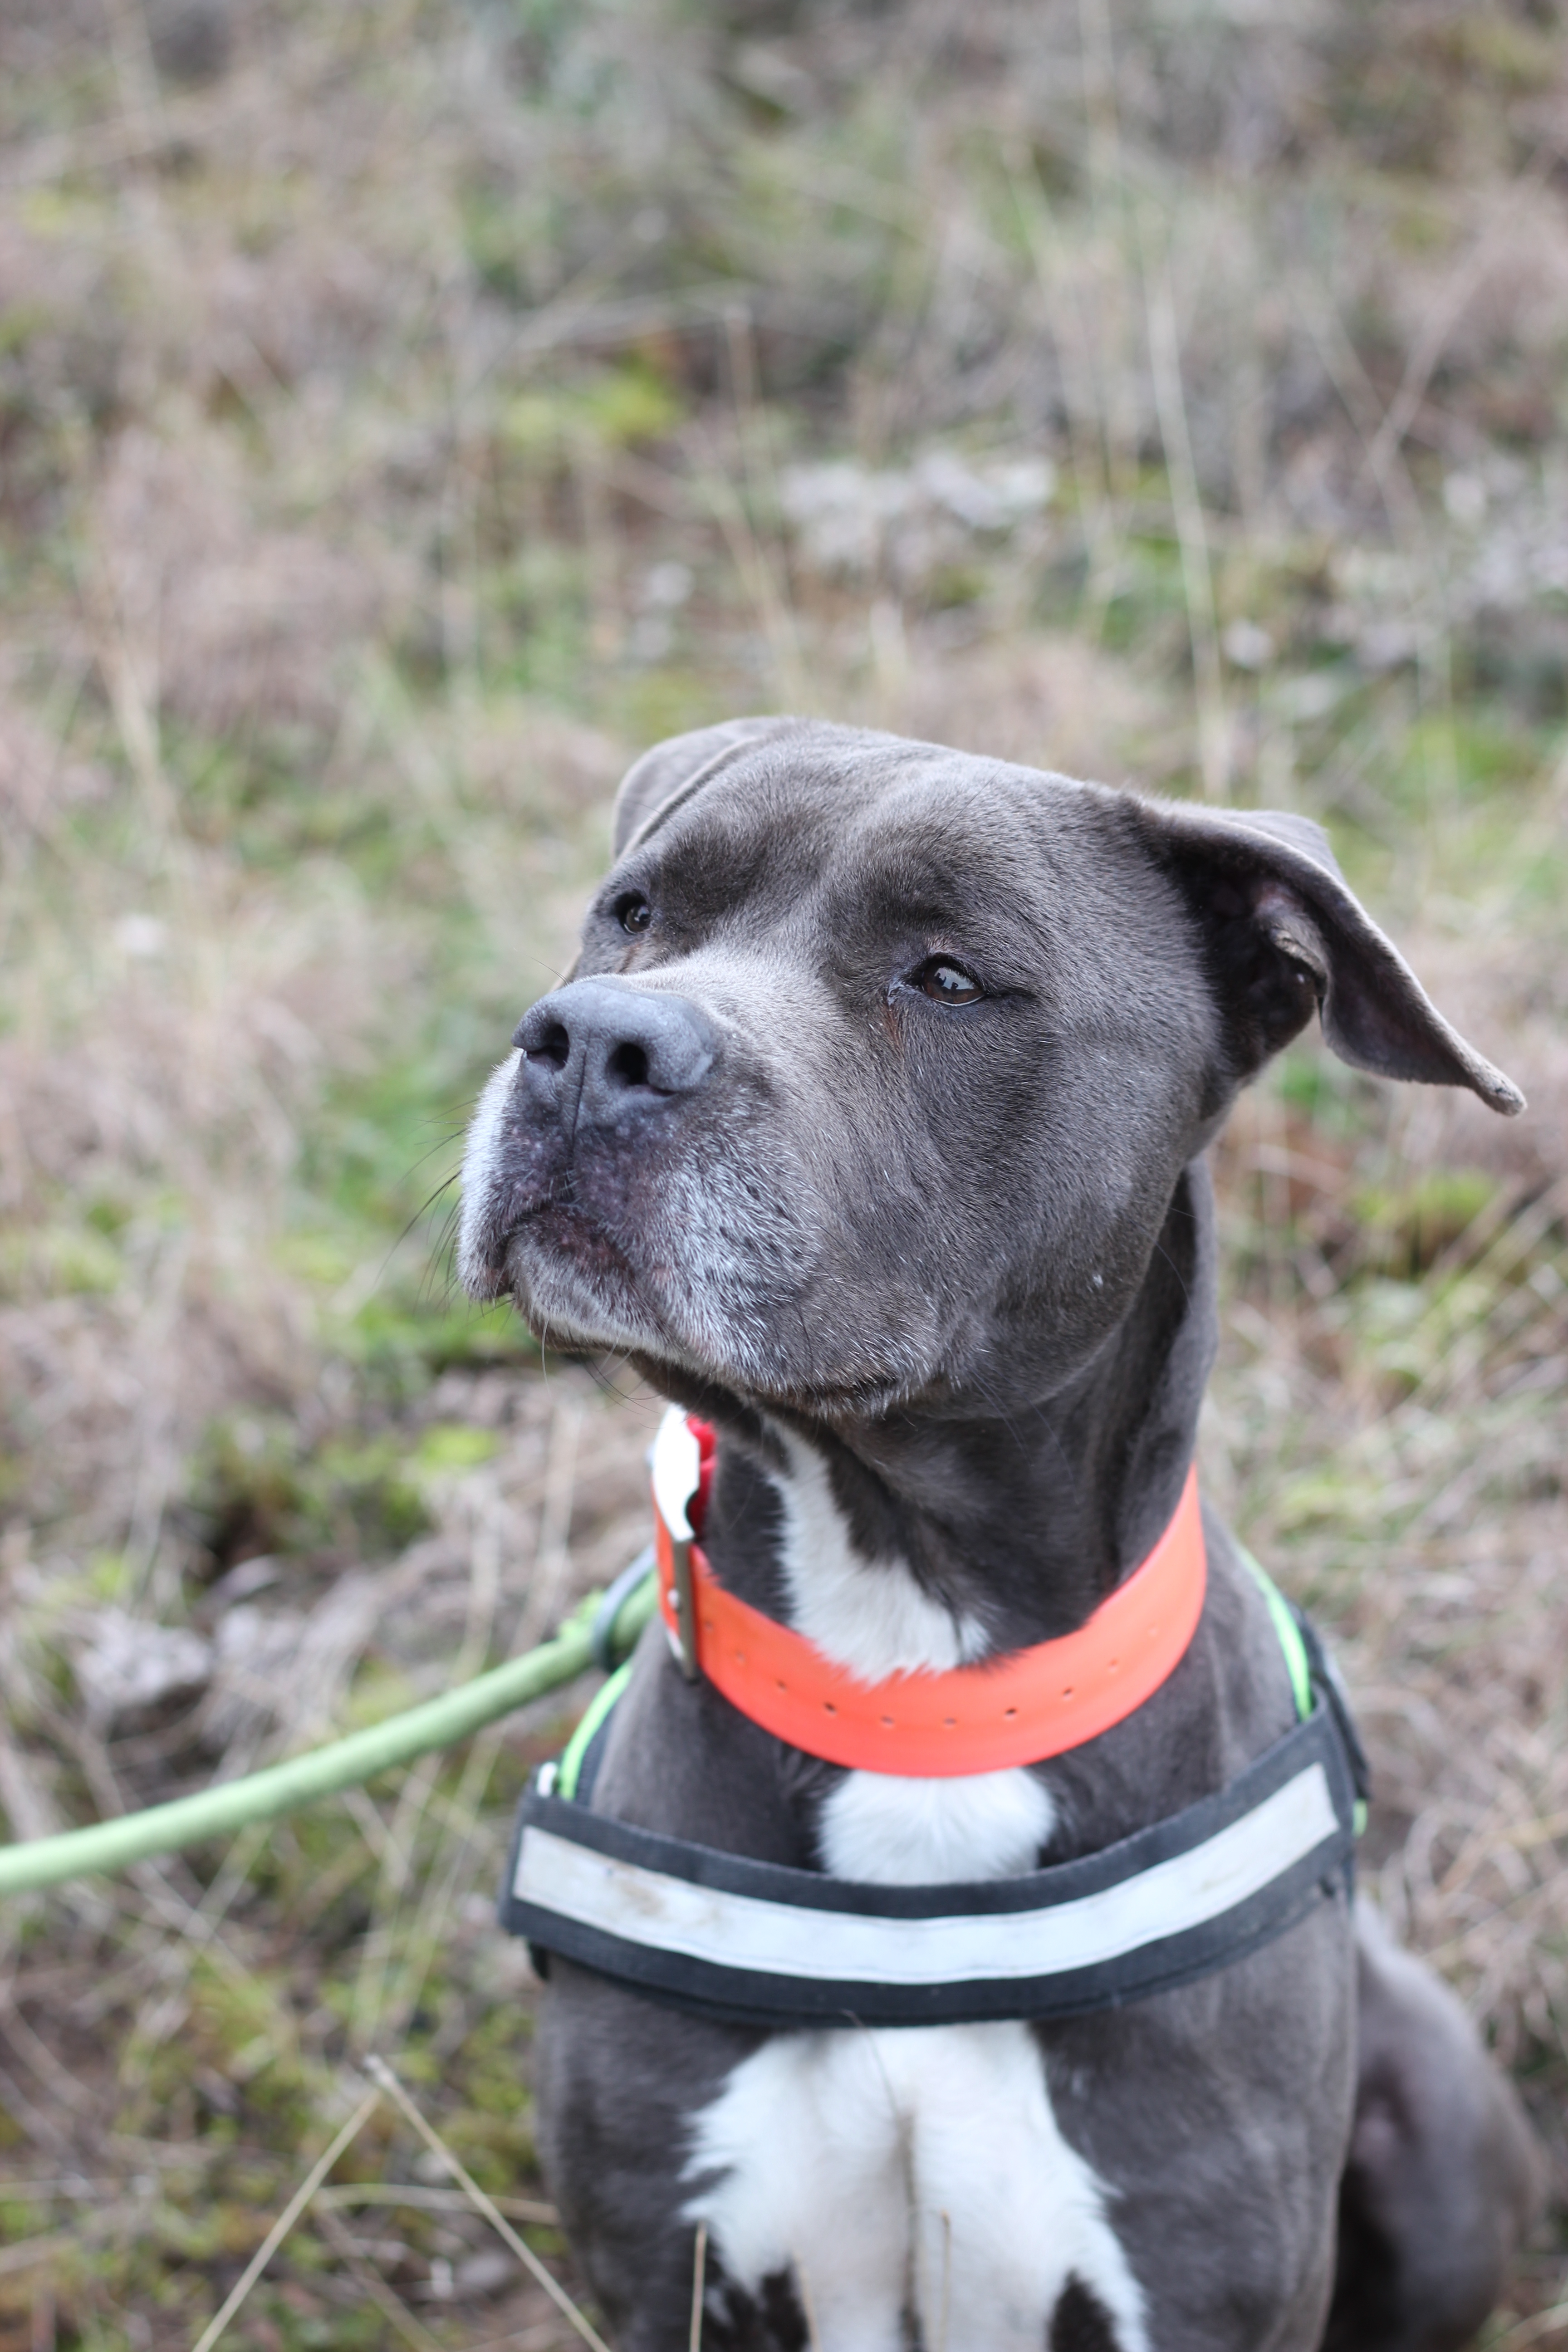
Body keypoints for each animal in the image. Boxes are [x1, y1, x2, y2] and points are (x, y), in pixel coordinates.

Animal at [458, 718, 1542, 2352]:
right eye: (636, 912)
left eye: (949, 976)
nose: (592, 1043)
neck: (922, 1683)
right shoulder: (667, 2267)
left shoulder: (1198, 2282)